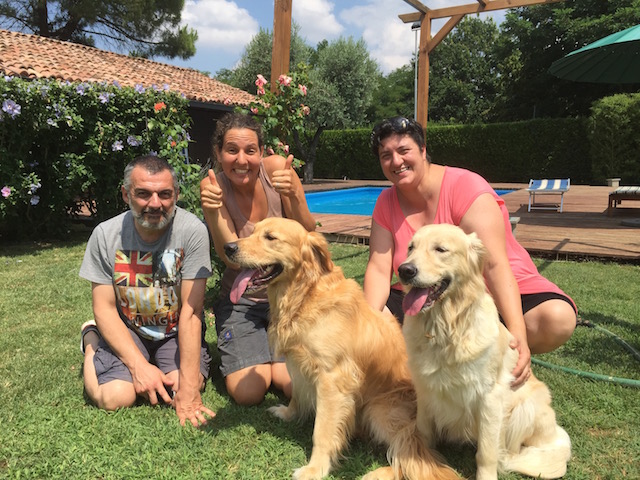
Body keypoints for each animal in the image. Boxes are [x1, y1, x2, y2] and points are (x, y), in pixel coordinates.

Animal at [223, 217, 459, 480]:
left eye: (270, 237)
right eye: (251, 232)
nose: (228, 247)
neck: (304, 295)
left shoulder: (332, 379)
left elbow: (322, 430)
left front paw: (315, 468)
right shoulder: (298, 364)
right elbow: (296, 395)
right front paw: (287, 413)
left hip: (379, 410)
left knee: (413, 453)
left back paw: (378, 473)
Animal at [398, 224, 571, 480]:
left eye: (440, 249)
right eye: (411, 247)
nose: (405, 270)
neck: (445, 328)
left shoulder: (489, 397)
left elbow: (486, 452)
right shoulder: (425, 390)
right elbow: (424, 434)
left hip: (526, 407)